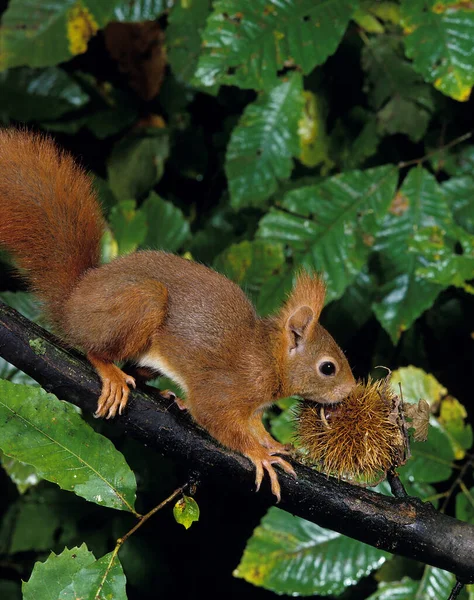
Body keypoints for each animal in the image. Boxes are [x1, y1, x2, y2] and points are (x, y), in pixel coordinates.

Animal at [0, 130, 356, 502]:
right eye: (328, 368)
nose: (351, 390)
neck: (268, 360)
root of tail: (73, 302)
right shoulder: (226, 388)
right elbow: (217, 419)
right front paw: (260, 455)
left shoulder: (254, 408)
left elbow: (255, 426)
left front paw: (274, 444)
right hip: (142, 301)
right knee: (96, 350)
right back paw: (111, 372)